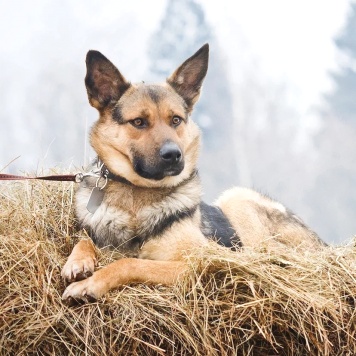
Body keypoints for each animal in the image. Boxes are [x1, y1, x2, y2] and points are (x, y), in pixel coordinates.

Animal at [61, 43, 322, 302]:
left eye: (176, 120)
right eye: (138, 122)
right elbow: (83, 240)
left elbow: (130, 263)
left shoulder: (198, 262)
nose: (173, 155)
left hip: (237, 198)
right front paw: (78, 261)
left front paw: (91, 283)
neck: (138, 194)